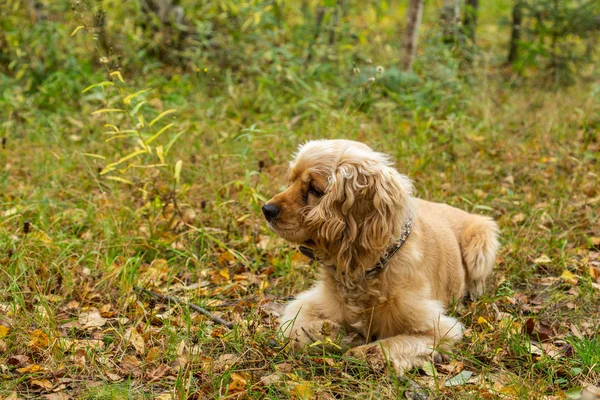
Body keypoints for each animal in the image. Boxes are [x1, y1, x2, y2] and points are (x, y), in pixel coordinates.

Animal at [262, 140, 502, 372]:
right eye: (291, 180)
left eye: (314, 189)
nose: (266, 209)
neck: (363, 270)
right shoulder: (307, 303)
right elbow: (293, 327)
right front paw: (339, 334)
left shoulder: (440, 328)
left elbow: (387, 345)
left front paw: (359, 350)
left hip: (482, 241)